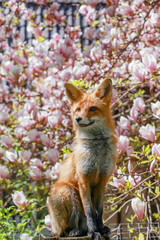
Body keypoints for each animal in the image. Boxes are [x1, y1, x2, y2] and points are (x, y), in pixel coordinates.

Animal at [47, 79, 117, 240]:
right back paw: (76, 231)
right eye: (78, 109)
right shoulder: (83, 178)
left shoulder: (103, 179)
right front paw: (93, 232)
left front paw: (100, 229)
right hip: (65, 190)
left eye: (93, 109)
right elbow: (90, 211)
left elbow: (99, 211)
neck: (98, 152)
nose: (78, 119)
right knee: (63, 231)